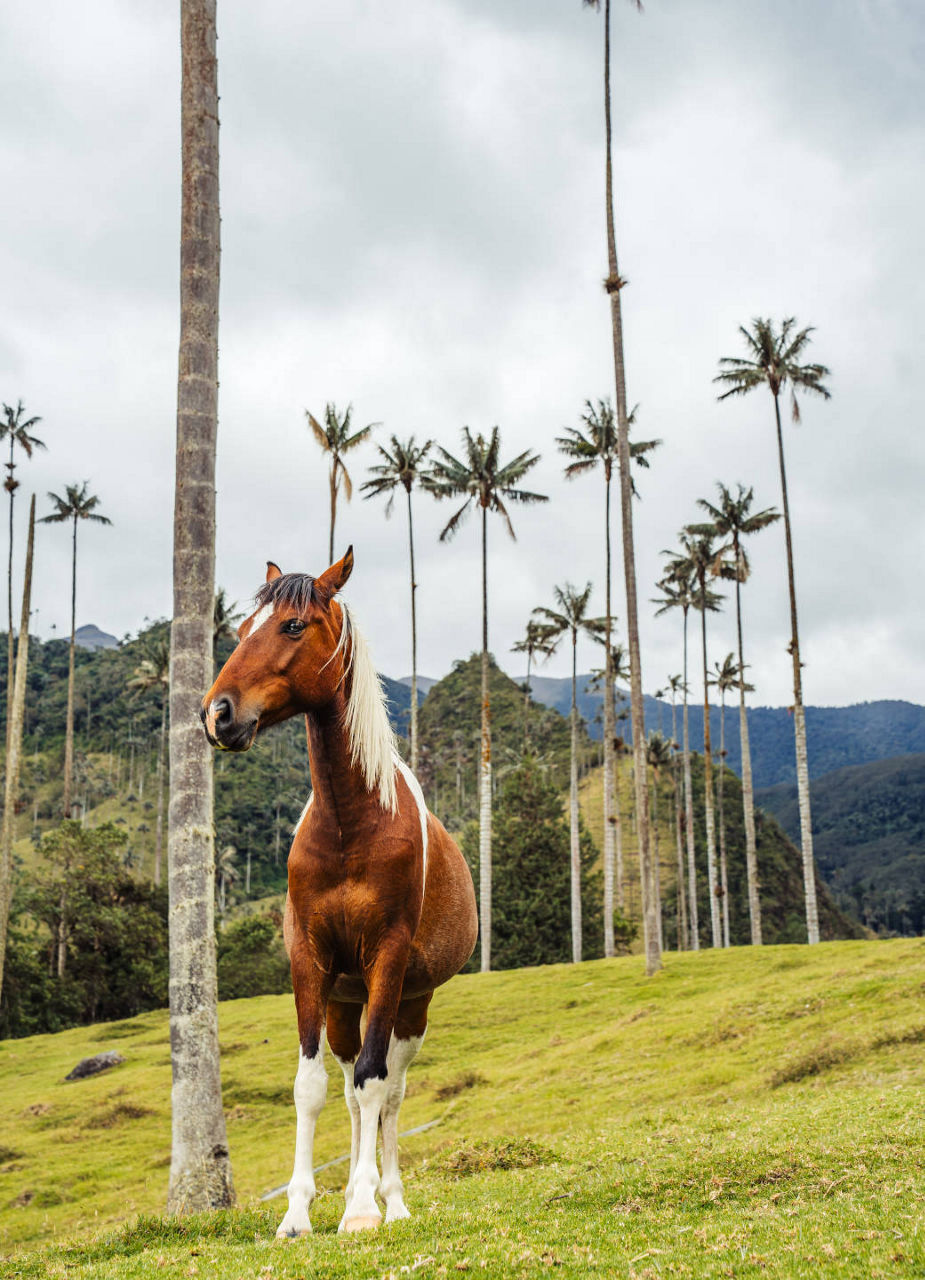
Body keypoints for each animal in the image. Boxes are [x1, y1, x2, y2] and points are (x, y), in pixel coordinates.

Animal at [202, 547, 478, 1228]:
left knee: (390, 1091)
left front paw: (362, 1208)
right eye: (241, 629)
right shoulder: (311, 961)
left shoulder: (387, 960)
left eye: (293, 626)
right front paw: (297, 1214)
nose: (218, 714)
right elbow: (313, 1087)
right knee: (353, 1094)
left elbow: (378, 1084)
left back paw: (388, 1199)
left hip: (410, 1002)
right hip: (343, 1002)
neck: (352, 825)